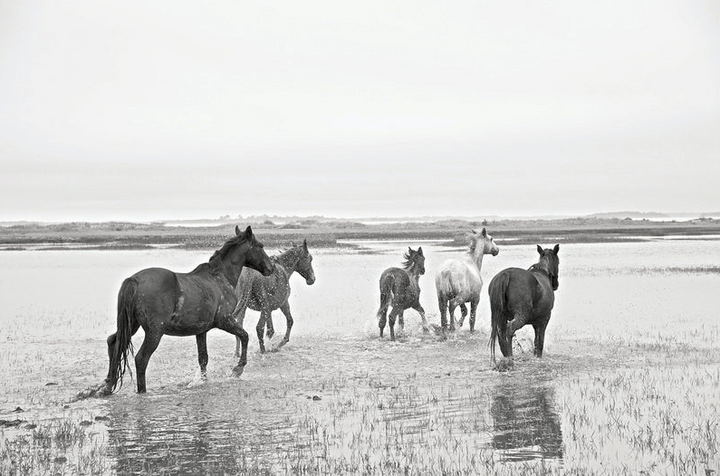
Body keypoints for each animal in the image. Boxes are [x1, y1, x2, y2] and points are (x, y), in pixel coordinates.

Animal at [101, 225, 275, 394]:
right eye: (260, 246)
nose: (271, 268)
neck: (220, 278)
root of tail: (134, 280)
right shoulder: (225, 321)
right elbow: (244, 336)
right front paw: (237, 369)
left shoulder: (201, 330)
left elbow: (203, 358)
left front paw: (203, 381)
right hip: (154, 332)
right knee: (141, 359)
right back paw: (141, 391)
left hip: (132, 326)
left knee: (113, 343)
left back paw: (108, 387)